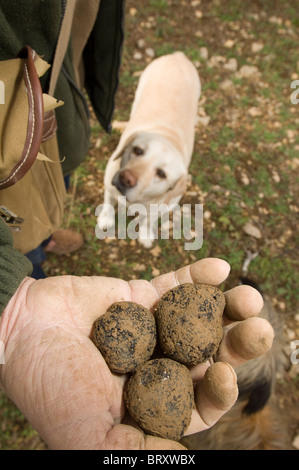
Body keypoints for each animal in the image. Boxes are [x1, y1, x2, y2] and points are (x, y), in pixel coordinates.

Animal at [97, 51, 202, 248]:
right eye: (138, 150)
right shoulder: (109, 185)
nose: (126, 178)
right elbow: (108, 204)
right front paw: (106, 220)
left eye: (161, 173)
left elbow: (149, 219)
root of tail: (178, 56)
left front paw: (145, 235)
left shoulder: (164, 205)